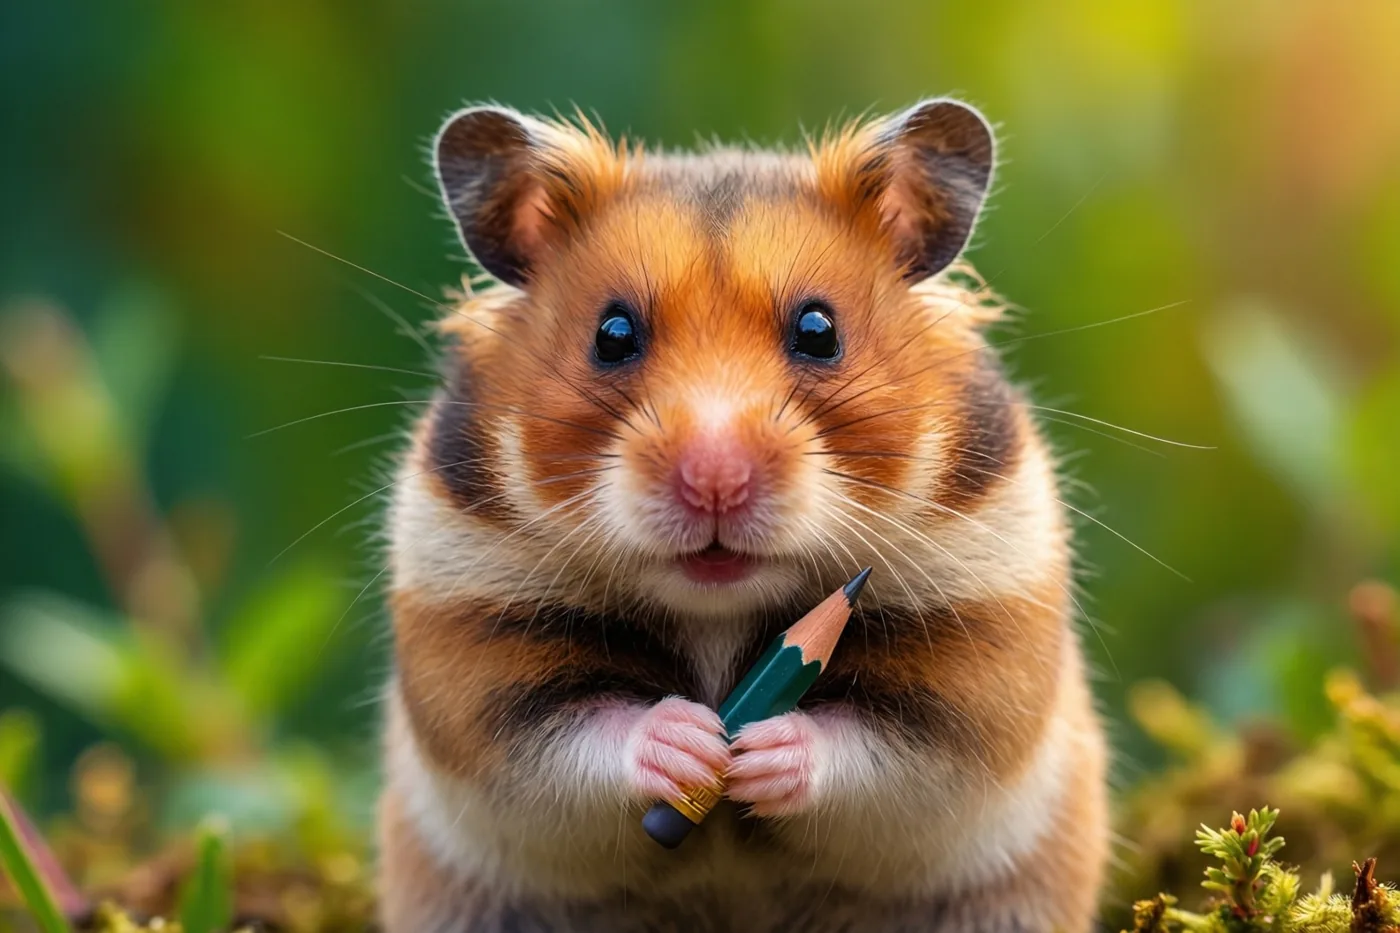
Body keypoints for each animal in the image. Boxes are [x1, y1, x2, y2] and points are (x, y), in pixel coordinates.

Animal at [376, 99, 1108, 933]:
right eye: (612, 334)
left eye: (819, 331)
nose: (716, 481)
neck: (717, 611)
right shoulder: (473, 643)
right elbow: (568, 734)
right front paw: (693, 740)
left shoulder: (978, 655)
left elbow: (884, 748)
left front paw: (759, 750)